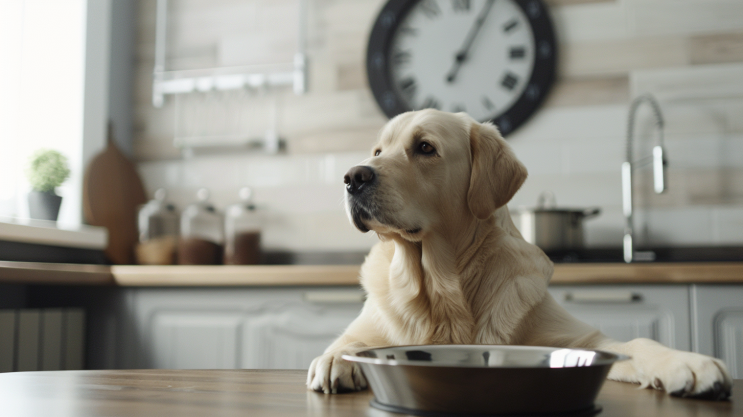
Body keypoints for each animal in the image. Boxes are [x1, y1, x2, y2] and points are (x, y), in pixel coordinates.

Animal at [306, 109, 732, 400]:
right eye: (378, 150)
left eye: (425, 147)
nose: (353, 176)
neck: (443, 286)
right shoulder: (369, 326)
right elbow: (348, 340)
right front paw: (335, 359)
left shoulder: (583, 339)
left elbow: (639, 344)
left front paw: (688, 363)